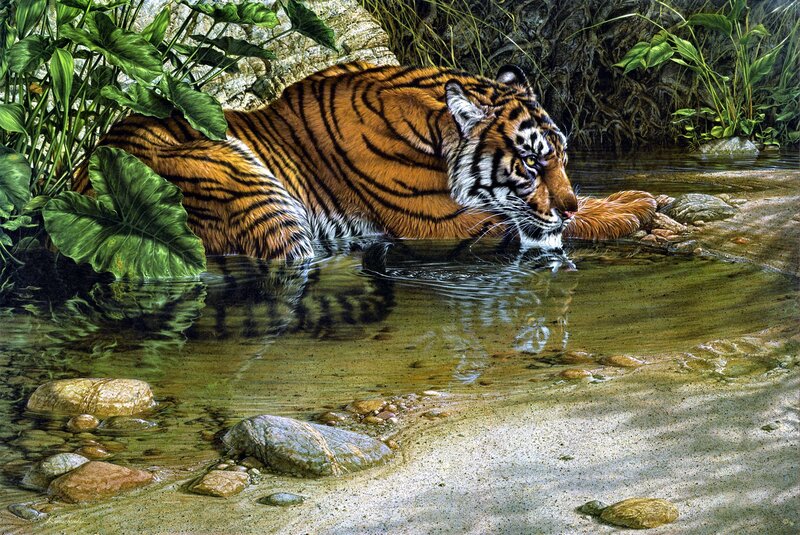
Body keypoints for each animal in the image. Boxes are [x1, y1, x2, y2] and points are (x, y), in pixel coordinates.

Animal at [76, 62, 656, 260]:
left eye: (564, 159)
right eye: (532, 165)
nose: (568, 203)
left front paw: (634, 196)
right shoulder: (447, 224)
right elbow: (547, 225)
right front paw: (633, 207)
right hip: (249, 190)